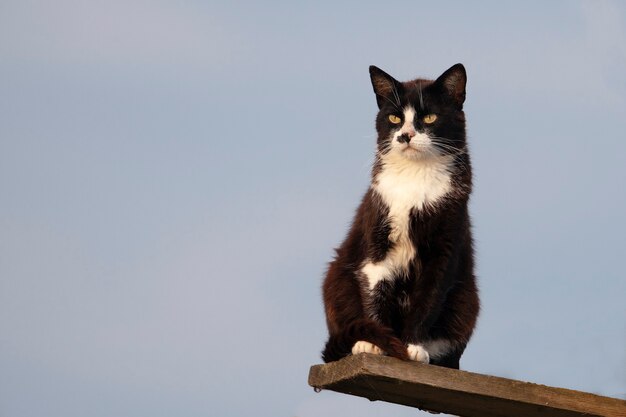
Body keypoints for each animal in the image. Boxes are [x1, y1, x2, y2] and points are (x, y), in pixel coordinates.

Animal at [322, 62, 478, 368]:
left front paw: (412, 346)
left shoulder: (444, 245)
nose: (405, 135)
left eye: (429, 117)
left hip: (467, 300)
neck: (414, 178)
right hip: (337, 280)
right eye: (394, 117)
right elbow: (376, 288)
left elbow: (427, 300)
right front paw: (375, 344)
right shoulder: (377, 237)